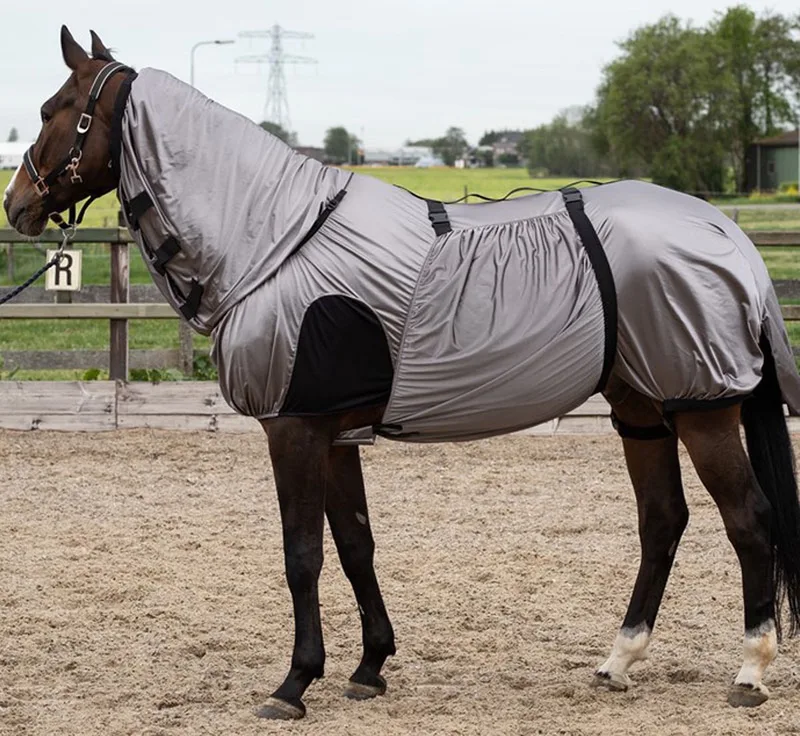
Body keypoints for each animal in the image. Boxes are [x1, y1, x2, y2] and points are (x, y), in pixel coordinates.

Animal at [4, 27, 800, 722]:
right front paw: (368, 668)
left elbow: (302, 554)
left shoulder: (293, 427)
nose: (18, 206)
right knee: (662, 519)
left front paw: (294, 683)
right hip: (641, 407)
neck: (276, 240)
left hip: (702, 406)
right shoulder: (334, 433)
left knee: (749, 519)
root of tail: (723, 232)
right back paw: (619, 660)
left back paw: (750, 669)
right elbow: (355, 544)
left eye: (53, 109)